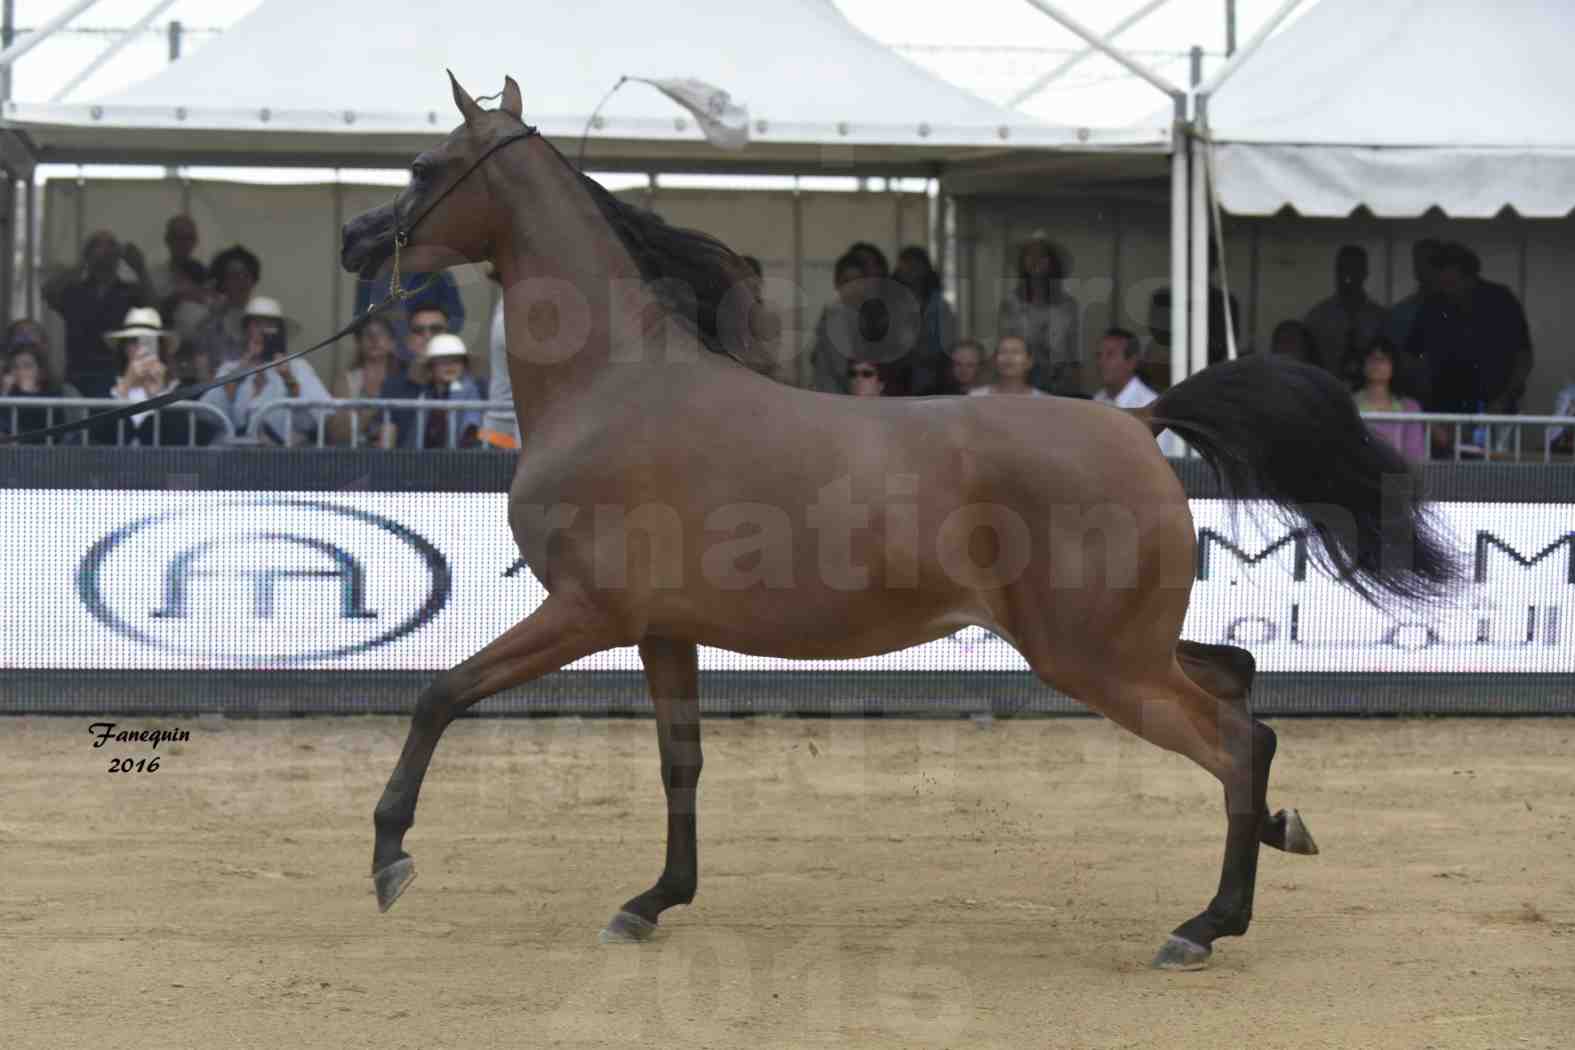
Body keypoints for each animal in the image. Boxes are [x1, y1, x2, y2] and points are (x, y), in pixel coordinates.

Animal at [338, 73, 1455, 976]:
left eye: (426, 163)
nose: (354, 242)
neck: (614, 386)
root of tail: (1135, 422)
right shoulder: (662, 631)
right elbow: (679, 763)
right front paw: (652, 902)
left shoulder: (586, 614)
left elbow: (439, 694)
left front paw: (390, 856)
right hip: (1119, 644)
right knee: (1239, 685)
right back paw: (1275, 836)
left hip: (1093, 658)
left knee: (1232, 740)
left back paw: (1202, 926)